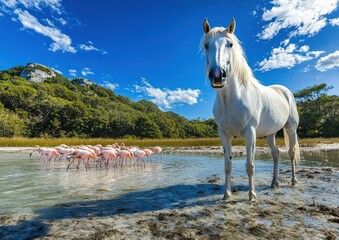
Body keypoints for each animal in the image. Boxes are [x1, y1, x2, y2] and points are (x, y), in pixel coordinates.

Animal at [202, 17, 300, 201]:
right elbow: (227, 165)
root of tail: (285, 91)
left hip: (291, 128)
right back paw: (274, 183)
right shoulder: (224, 134)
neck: (231, 99)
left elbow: (250, 165)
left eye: (230, 44)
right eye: (206, 45)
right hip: (270, 133)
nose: (218, 76)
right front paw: (226, 195)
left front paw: (252, 195)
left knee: (290, 153)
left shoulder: (250, 132)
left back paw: (293, 181)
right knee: (276, 154)